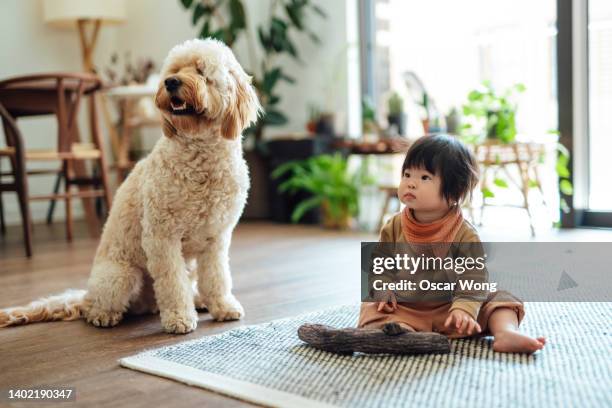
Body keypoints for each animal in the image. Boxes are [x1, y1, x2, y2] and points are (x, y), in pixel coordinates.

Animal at [0, 38, 260, 334]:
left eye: (201, 70)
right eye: (174, 70)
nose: (170, 82)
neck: (201, 157)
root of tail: (85, 293)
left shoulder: (216, 238)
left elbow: (217, 276)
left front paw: (222, 305)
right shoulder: (162, 237)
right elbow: (172, 282)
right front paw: (179, 318)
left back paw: (198, 299)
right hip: (123, 276)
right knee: (96, 306)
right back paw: (104, 315)